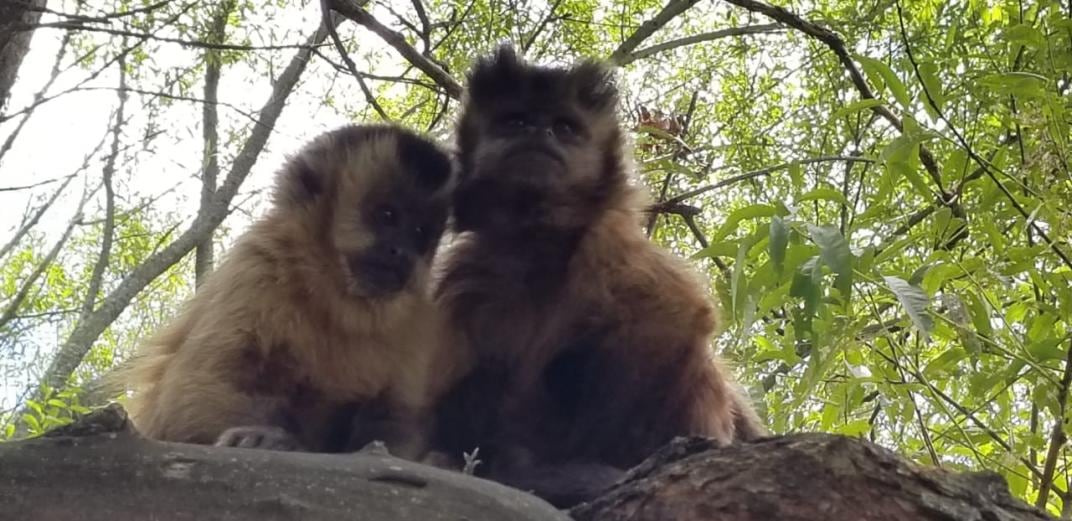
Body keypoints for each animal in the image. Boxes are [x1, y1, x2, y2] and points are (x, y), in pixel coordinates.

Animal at [119, 123, 454, 456]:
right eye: (387, 215)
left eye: (419, 233)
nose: (403, 252)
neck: (335, 296)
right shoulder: (258, 264)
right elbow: (194, 388)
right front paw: (270, 438)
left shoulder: (419, 320)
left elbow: (395, 419)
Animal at [424, 45, 763, 508]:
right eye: (515, 121)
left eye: (564, 127)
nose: (539, 133)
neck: (538, 245)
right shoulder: (471, 272)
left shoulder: (611, 247)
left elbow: (674, 319)